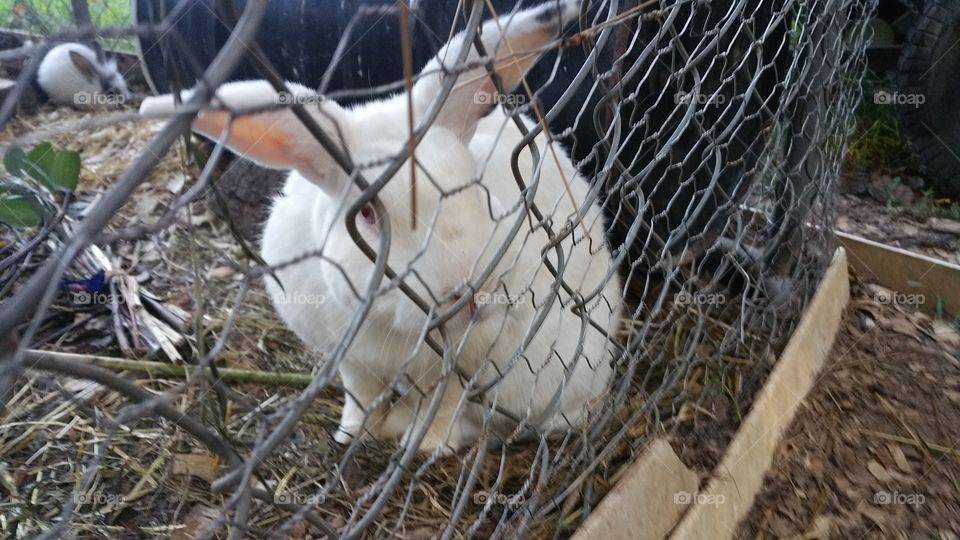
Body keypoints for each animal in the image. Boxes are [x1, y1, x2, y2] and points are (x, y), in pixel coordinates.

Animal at [141, 0, 623, 453]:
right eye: (369, 214)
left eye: (480, 188)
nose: (473, 292)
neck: (390, 325)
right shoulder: (351, 360)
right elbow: (361, 395)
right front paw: (354, 434)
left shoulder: (464, 360)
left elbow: (444, 401)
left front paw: (427, 445)